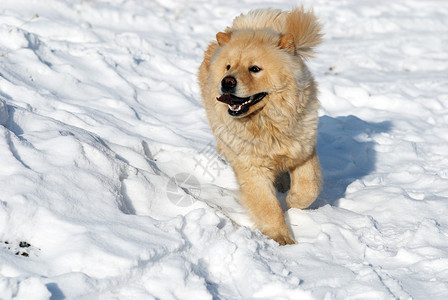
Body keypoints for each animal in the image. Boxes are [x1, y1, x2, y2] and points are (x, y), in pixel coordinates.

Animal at [199, 7, 322, 245]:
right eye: (228, 67)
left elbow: (309, 187)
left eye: (255, 69)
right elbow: (268, 206)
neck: (266, 123)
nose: (227, 81)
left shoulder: (303, 149)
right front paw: (281, 238)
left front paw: (293, 201)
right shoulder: (251, 166)